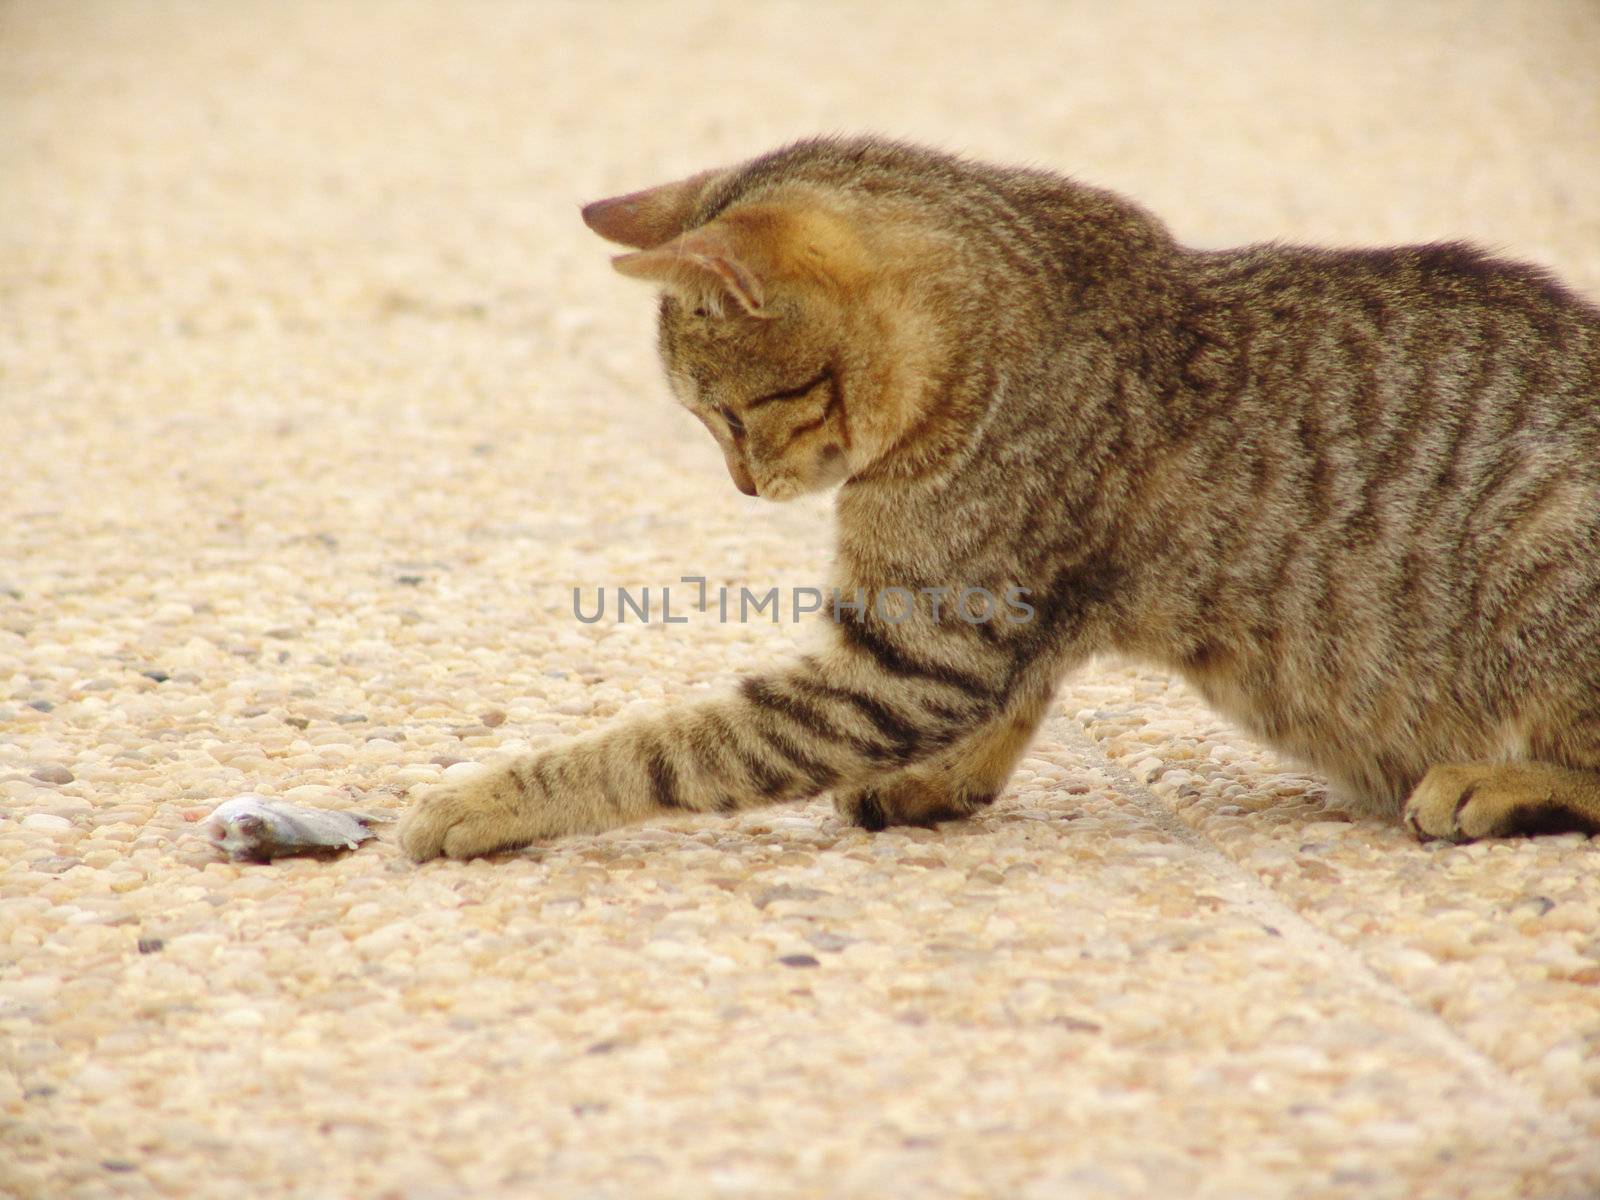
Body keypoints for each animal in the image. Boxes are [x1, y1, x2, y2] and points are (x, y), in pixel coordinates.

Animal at [390, 136, 1600, 857]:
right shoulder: (999, 621)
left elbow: (671, 748)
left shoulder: (916, 649)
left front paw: (488, 799)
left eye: (728, 416)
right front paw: (941, 780)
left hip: (1542, 554)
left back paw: (1494, 783)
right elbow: (1021, 694)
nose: (739, 483)